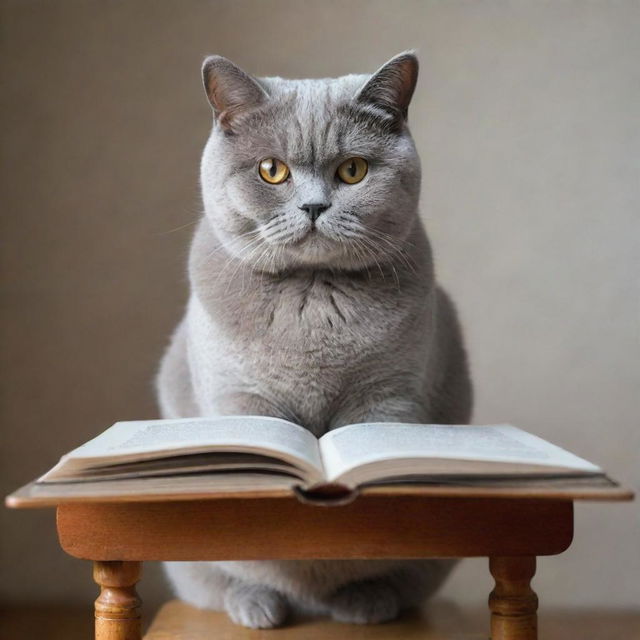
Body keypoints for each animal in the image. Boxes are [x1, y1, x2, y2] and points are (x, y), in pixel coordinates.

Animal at [158, 51, 472, 632]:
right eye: (271, 170)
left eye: (353, 170)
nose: (313, 207)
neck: (313, 296)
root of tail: (313, 606)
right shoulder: (241, 400)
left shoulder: (388, 397)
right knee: (225, 581)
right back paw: (259, 607)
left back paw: (363, 603)